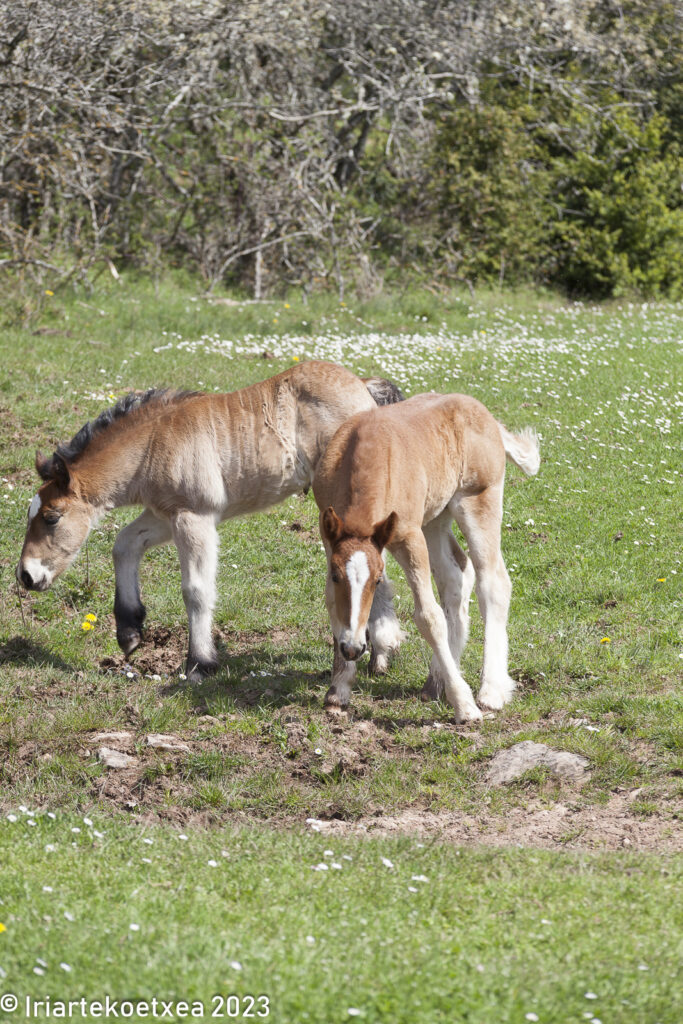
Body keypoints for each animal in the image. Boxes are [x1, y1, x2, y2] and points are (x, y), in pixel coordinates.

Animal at [15, 360, 403, 679]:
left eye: (51, 517)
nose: (26, 576)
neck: (153, 444)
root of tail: (364, 386)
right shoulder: (163, 514)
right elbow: (124, 544)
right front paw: (129, 630)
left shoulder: (194, 517)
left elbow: (196, 590)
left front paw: (200, 662)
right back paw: (375, 656)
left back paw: (378, 653)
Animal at [313, 389, 540, 720]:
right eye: (335, 575)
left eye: (378, 580)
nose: (353, 649)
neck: (370, 451)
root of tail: (485, 414)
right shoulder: (330, 537)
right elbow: (333, 603)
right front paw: (339, 690)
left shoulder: (409, 537)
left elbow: (429, 617)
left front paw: (465, 705)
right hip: (435, 518)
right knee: (456, 575)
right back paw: (436, 681)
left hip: (477, 502)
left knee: (493, 583)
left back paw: (491, 690)